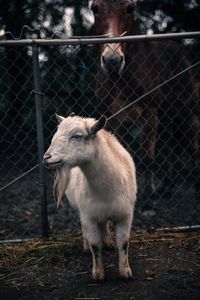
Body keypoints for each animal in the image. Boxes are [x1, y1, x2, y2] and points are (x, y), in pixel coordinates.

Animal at [43, 114, 138, 282]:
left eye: (77, 136)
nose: (46, 158)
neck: (106, 190)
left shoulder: (125, 215)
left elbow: (124, 244)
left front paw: (125, 272)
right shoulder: (89, 216)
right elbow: (95, 245)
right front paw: (98, 274)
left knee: (104, 224)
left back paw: (108, 242)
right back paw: (87, 246)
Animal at [91, 0, 200, 195]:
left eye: (130, 8)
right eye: (94, 8)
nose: (112, 60)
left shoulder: (149, 113)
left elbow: (146, 156)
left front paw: (149, 191)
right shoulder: (110, 116)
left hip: (185, 108)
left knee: (192, 139)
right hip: (166, 113)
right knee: (169, 143)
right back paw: (168, 186)